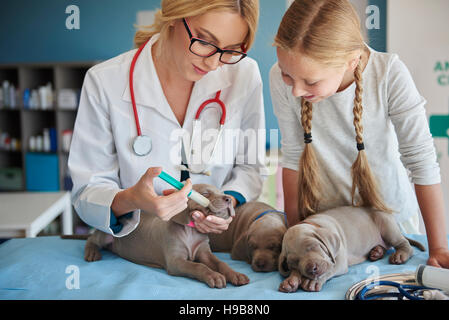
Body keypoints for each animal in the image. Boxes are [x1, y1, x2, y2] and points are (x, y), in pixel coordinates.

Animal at [84, 184, 248, 288]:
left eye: (222, 193)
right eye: (205, 194)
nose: (228, 199)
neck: (191, 231)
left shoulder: (204, 252)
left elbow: (220, 263)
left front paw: (235, 274)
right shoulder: (175, 261)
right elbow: (198, 266)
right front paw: (214, 276)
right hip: (106, 233)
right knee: (92, 239)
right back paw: (92, 252)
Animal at [276, 205, 424, 292]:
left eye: (313, 246)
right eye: (294, 262)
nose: (312, 269)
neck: (314, 224)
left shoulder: (339, 263)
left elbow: (329, 270)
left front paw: (312, 282)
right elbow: (295, 272)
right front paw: (291, 280)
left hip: (387, 226)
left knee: (404, 243)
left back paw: (400, 254)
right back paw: (376, 252)